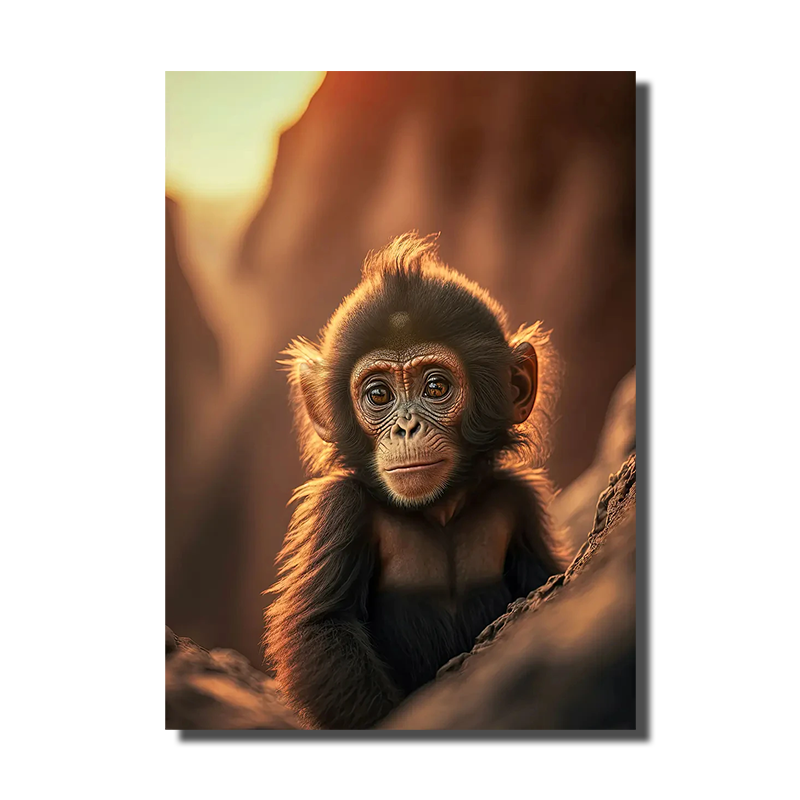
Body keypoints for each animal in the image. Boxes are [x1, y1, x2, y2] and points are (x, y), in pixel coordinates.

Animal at [264, 233, 571, 729]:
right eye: (378, 395)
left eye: (435, 388)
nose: (407, 427)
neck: (438, 509)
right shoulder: (339, 505)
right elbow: (322, 626)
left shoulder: (520, 498)